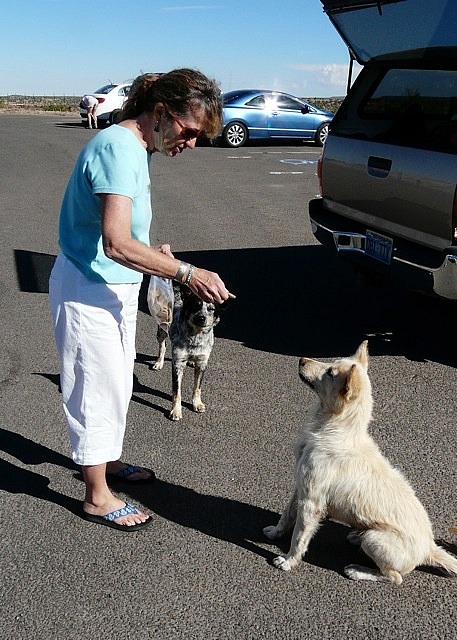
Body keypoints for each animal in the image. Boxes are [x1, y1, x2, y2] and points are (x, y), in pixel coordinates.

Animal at [153, 284, 230, 420]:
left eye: (211, 309)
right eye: (195, 305)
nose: (201, 317)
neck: (196, 337)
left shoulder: (202, 363)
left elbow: (197, 387)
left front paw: (197, 403)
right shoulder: (178, 364)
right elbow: (176, 391)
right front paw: (176, 411)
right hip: (162, 328)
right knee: (162, 345)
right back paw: (159, 362)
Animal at [262, 342, 456, 588]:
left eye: (330, 373)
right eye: (332, 363)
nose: (301, 359)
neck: (335, 429)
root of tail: (429, 548)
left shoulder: (311, 502)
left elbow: (299, 536)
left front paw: (288, 561)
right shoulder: (300, 487)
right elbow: (286, 515)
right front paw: (275, 533)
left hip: (375, 539)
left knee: (395, 577)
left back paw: (357, 570)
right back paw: (355, 536)